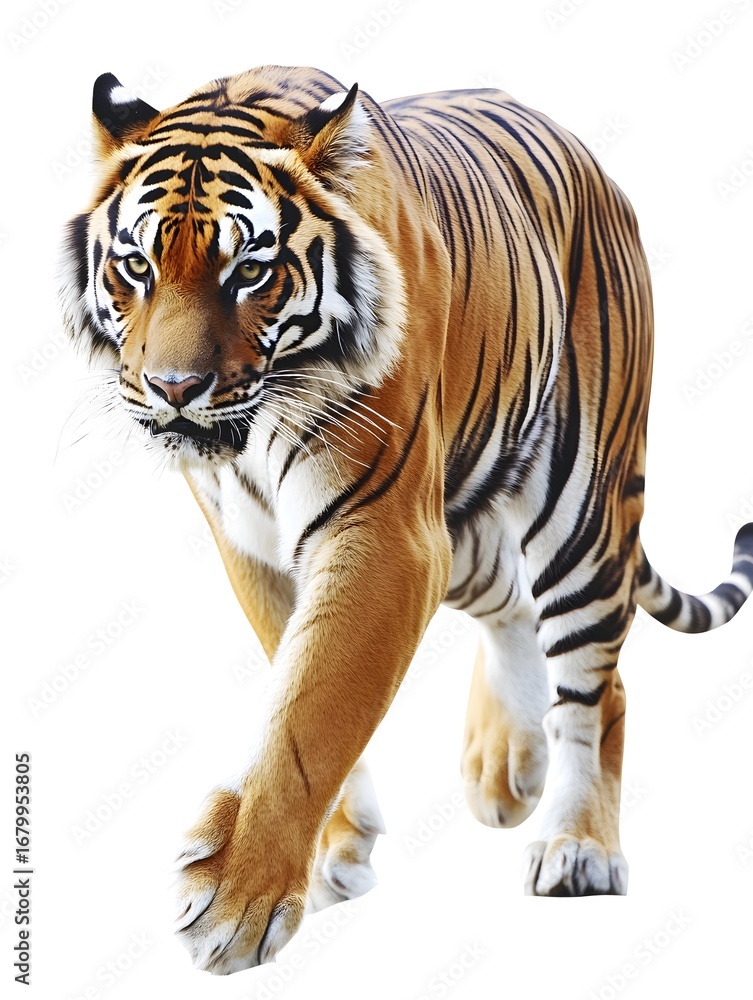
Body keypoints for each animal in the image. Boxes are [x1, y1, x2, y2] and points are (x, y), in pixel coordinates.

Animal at [59, 63, 753, 975]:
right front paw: (336, 852)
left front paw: (237, 900)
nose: (173, 389)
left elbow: (313, 711)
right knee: (514, 607)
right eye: (136, 264)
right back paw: (505, 767)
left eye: (248, 270)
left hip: (582, 506)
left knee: (598, 686)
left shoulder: (384, 538)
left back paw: (578, 846)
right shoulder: (257, 546)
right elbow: (294, 674)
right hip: (466, 531)